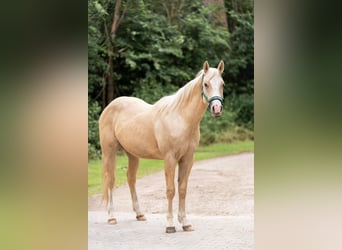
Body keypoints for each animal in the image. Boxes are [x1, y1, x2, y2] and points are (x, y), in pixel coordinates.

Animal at [99, 60, 224, 232]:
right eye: (206, 84)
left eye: (222, 84)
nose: (216, 109)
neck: (180, 118)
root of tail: (110, 106)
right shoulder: (169, 158)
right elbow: (171, 190)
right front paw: (170, 225)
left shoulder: (187, 158)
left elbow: (182, 189)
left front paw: (185, 222)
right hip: (109, 151)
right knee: (110, 179)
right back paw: (111, 217)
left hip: (132, 154)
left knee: (131, 179)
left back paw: (139, 214)